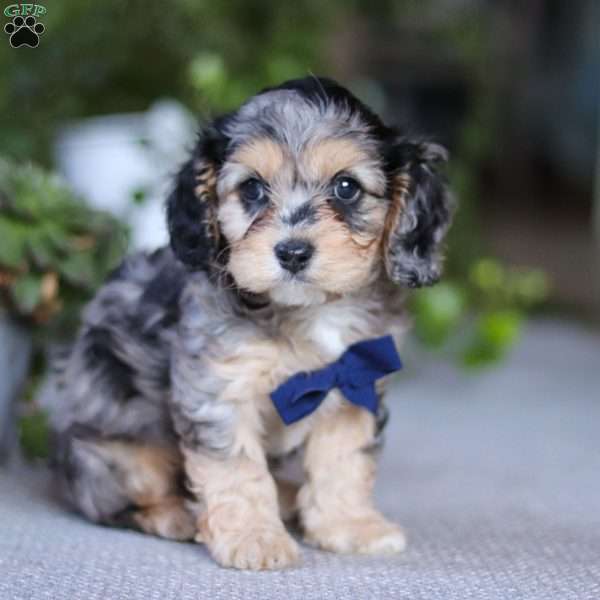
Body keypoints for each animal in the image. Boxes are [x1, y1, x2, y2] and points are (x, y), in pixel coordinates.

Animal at [42, 77, 452, 568]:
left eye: (346, 187)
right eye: (252, 189)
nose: (292, 252)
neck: (308, 311)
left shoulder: (355, 381)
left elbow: (342, 462)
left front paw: (350, 526)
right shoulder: (219, 391)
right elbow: (236, 470)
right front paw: (254, 538)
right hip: (119, 457)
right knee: (119, 502)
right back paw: (177, 516)